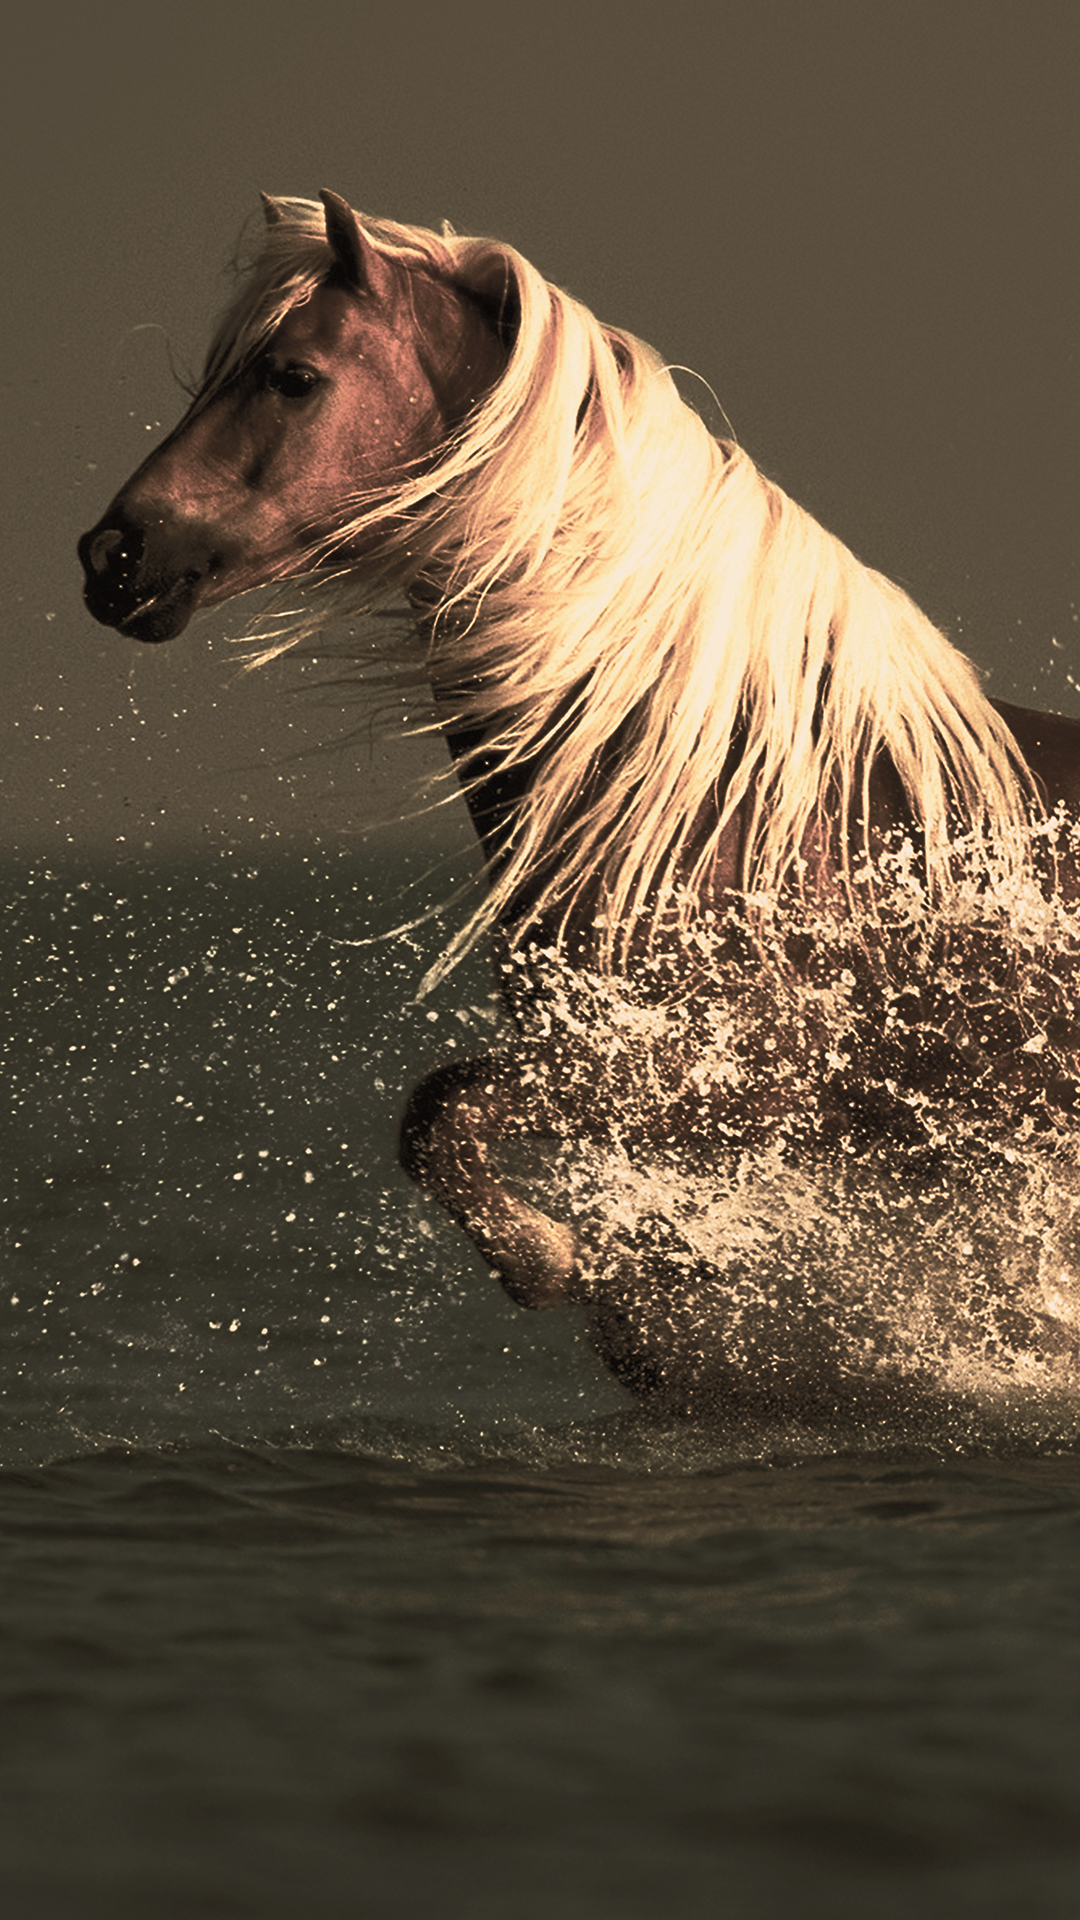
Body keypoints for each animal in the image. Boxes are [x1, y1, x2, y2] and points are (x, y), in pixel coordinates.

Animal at [79, 191, 1080, 1422]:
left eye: (294, 376)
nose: (113, 554)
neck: (730, 801)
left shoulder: (711, 1080)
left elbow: (443, 1117)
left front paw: (554, 1264)